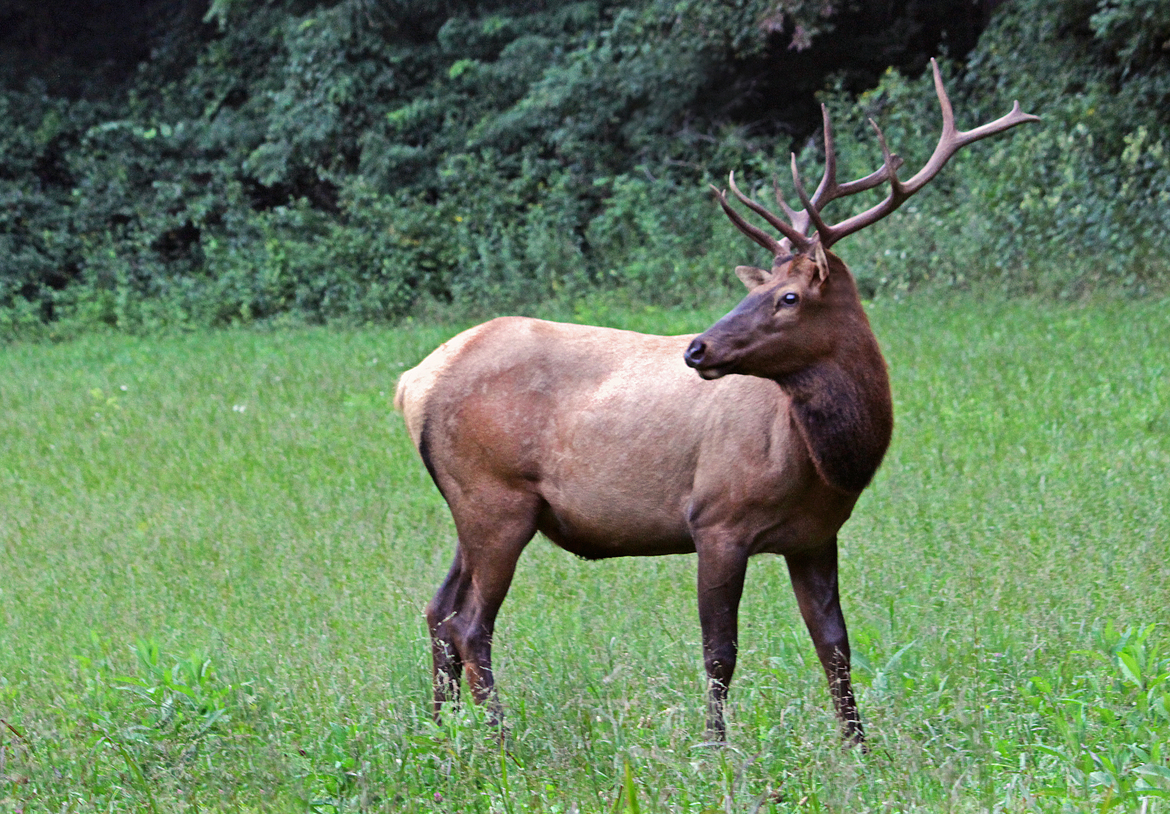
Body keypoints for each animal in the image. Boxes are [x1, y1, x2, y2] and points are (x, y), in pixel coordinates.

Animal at [395, 60, 1037, 746]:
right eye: (763, 290)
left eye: (788, 297)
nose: (697, 348)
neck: (827, 460)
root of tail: (413, 383)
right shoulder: (716, 519)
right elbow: (719, 650)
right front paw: (714, 747)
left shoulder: (816, 536)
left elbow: (835, 646)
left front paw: (859, 747)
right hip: (497, 497)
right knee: (471, 624)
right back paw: (499, 741)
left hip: (476, 503)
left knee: (439, 611)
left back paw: (440, 733)